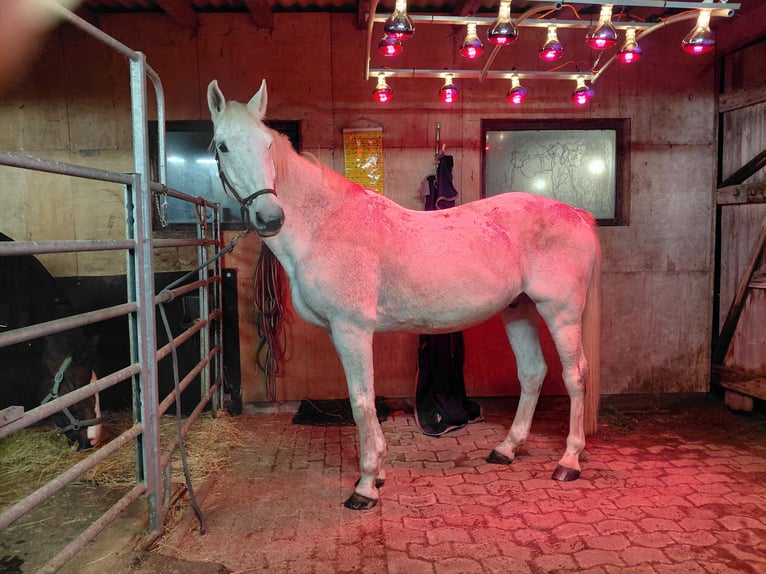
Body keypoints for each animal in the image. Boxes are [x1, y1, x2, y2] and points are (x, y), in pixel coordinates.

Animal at [207, 79, 601, 510]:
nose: (270, 218)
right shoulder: (341, 332)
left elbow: (362, 402)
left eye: (266, 144)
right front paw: (377, 473)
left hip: (560, 312)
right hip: (519, 310)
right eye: (222, 146)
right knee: (532, 373)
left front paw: (365, 486)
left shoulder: (352, 330)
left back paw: (569, 461)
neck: (324, 226)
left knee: (574, 375)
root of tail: (577, 213)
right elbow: (364, 399)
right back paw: (507, 449)